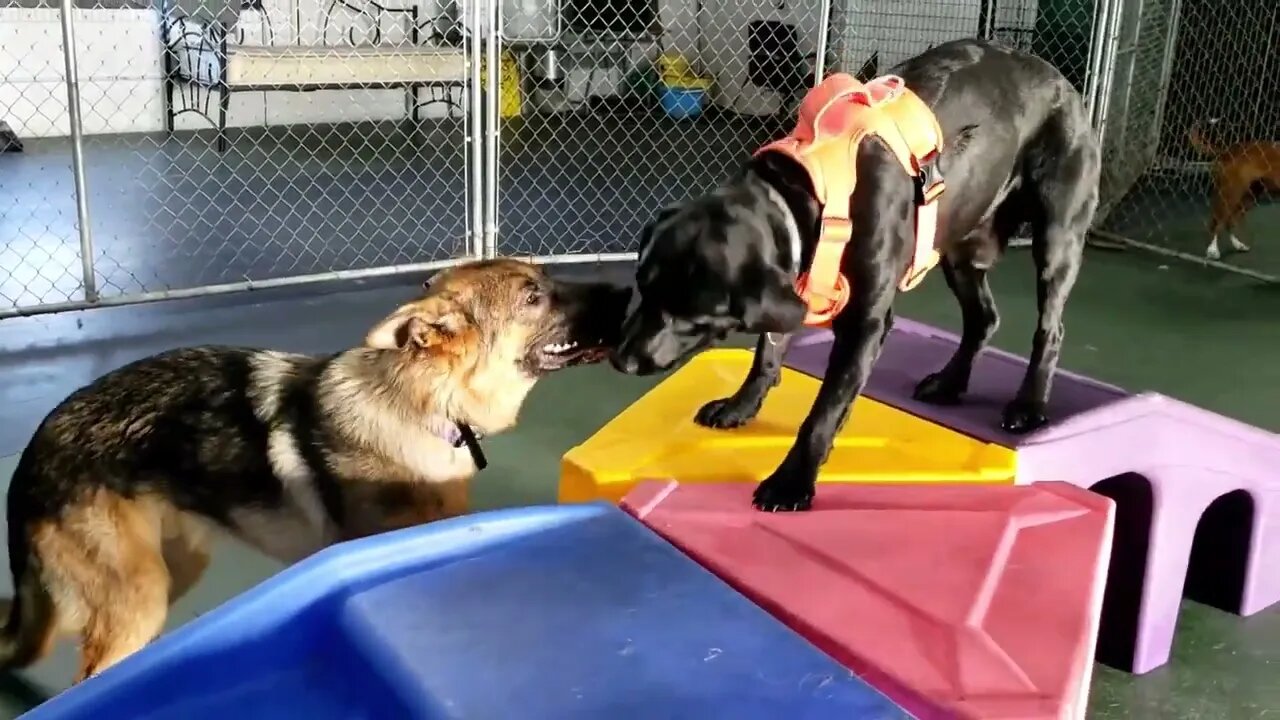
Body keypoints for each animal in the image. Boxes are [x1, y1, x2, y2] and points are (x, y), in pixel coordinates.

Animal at [0, 256, 629, 676]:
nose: (629, 291)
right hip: (138, 596)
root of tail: (30, 454)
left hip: (177, 568)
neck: (421, 405)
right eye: (533, 296)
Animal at [609, 37, 1100, 509]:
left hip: (1055, 238)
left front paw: (791, 483)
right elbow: (766, 354)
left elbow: (824, 412)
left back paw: (1028, 405)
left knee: (1050, 329)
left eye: (691, 318)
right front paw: (740, 405)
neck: (805, 197)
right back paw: (949, 383)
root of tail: (1064, 82)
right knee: (983, 319)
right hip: (961, 248)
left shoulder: (865, 323)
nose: (621, 360)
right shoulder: (797, 281)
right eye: (642, 288)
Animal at [1187, 119, 1280, 258]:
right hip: (1230, 194)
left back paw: (1238, 245)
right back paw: (1213, 250)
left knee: (1229, 221)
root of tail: (1228, 150)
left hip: (1248, 196)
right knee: (1217, 221)